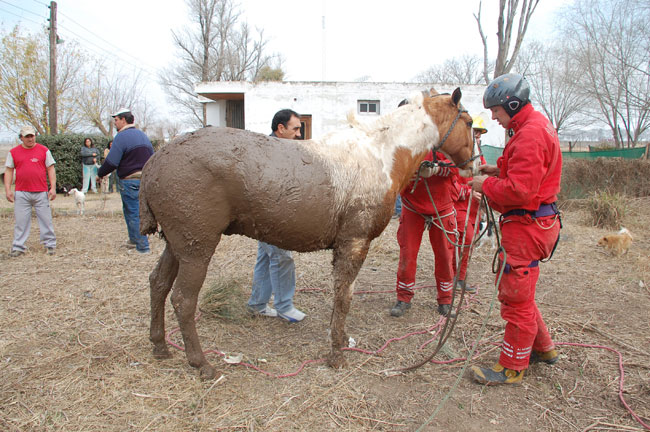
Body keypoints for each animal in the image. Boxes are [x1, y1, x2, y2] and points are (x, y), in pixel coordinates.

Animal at [140, 87, 477, 379]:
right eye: (471, 123)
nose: (472, 166)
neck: (380, 153)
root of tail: (155, 161)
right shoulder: (354, 243)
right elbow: (344, 297)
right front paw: (336, 354)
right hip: (197, 248)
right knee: (183, 299)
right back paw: (202, 364)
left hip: (177, 245)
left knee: (158, 284)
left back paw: (160, 347)